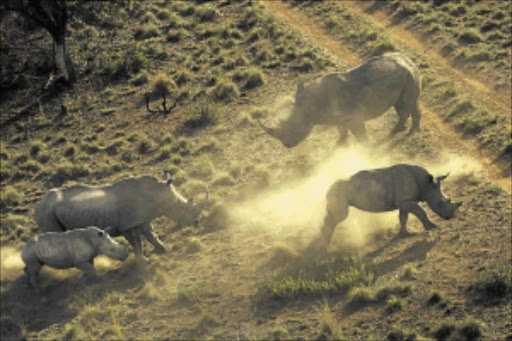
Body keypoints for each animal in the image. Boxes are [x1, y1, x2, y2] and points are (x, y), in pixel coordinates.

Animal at [32, 173, 203, 258]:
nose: (196, 222)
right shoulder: (127, 226)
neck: (155, 195)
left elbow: (151, 235)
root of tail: (37, 205)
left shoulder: (142, 220)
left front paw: (164, 250)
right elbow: (137, 243)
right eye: (181, 208)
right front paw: (143, 261)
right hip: (46, 212)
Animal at [258, 51, 422, 146]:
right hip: (405, 78)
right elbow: (341, 129)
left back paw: (393, 134)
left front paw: (367, 148)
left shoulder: (354, 117)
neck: (311, 108)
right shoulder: (338, 116)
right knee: (405, 104)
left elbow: (360, 136)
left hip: (409, 76)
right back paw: (410, 131)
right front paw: (340, 142)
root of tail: (411, 61)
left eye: (294, 129)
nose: (286, 145)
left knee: (406, 104)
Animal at [320, 163, 460, 246]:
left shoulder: (404, 202)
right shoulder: (406, 201)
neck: (425, 185)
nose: (450, 217)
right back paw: (325, 244)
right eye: (440, 203)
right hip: (339, 193)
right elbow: (421, 212)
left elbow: (403, 217)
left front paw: (407, 233)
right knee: (339, 217)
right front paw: (432, 227)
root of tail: (327, 189)